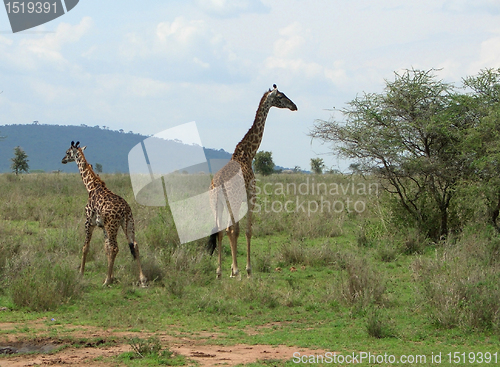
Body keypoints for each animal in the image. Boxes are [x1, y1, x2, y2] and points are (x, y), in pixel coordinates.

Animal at [62, 141, 146, 288]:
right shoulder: (102, 226)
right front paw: (112, 275)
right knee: (134, 244)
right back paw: (142, 279)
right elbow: (105, 248)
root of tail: (125, 209)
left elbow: (85, 246)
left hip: (112, 225)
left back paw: (106, 281)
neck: (91, 186)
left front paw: (81, 273)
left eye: (67, 152)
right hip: (128, 223)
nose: (63, 160)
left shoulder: (88, 222)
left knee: (115, 247)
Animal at [207, 84, 296, 278]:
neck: (247, 154)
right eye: (281, 96)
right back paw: (236, 270)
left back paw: (219, 271)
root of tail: (217, 183)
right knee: (231, 230)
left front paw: (232, 269)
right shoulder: (250, 197)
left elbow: (234, 231)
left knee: (221, 231)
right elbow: (247, 231)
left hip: (216, 203)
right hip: (232, 201)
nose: (294, 106)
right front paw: (246, 270)